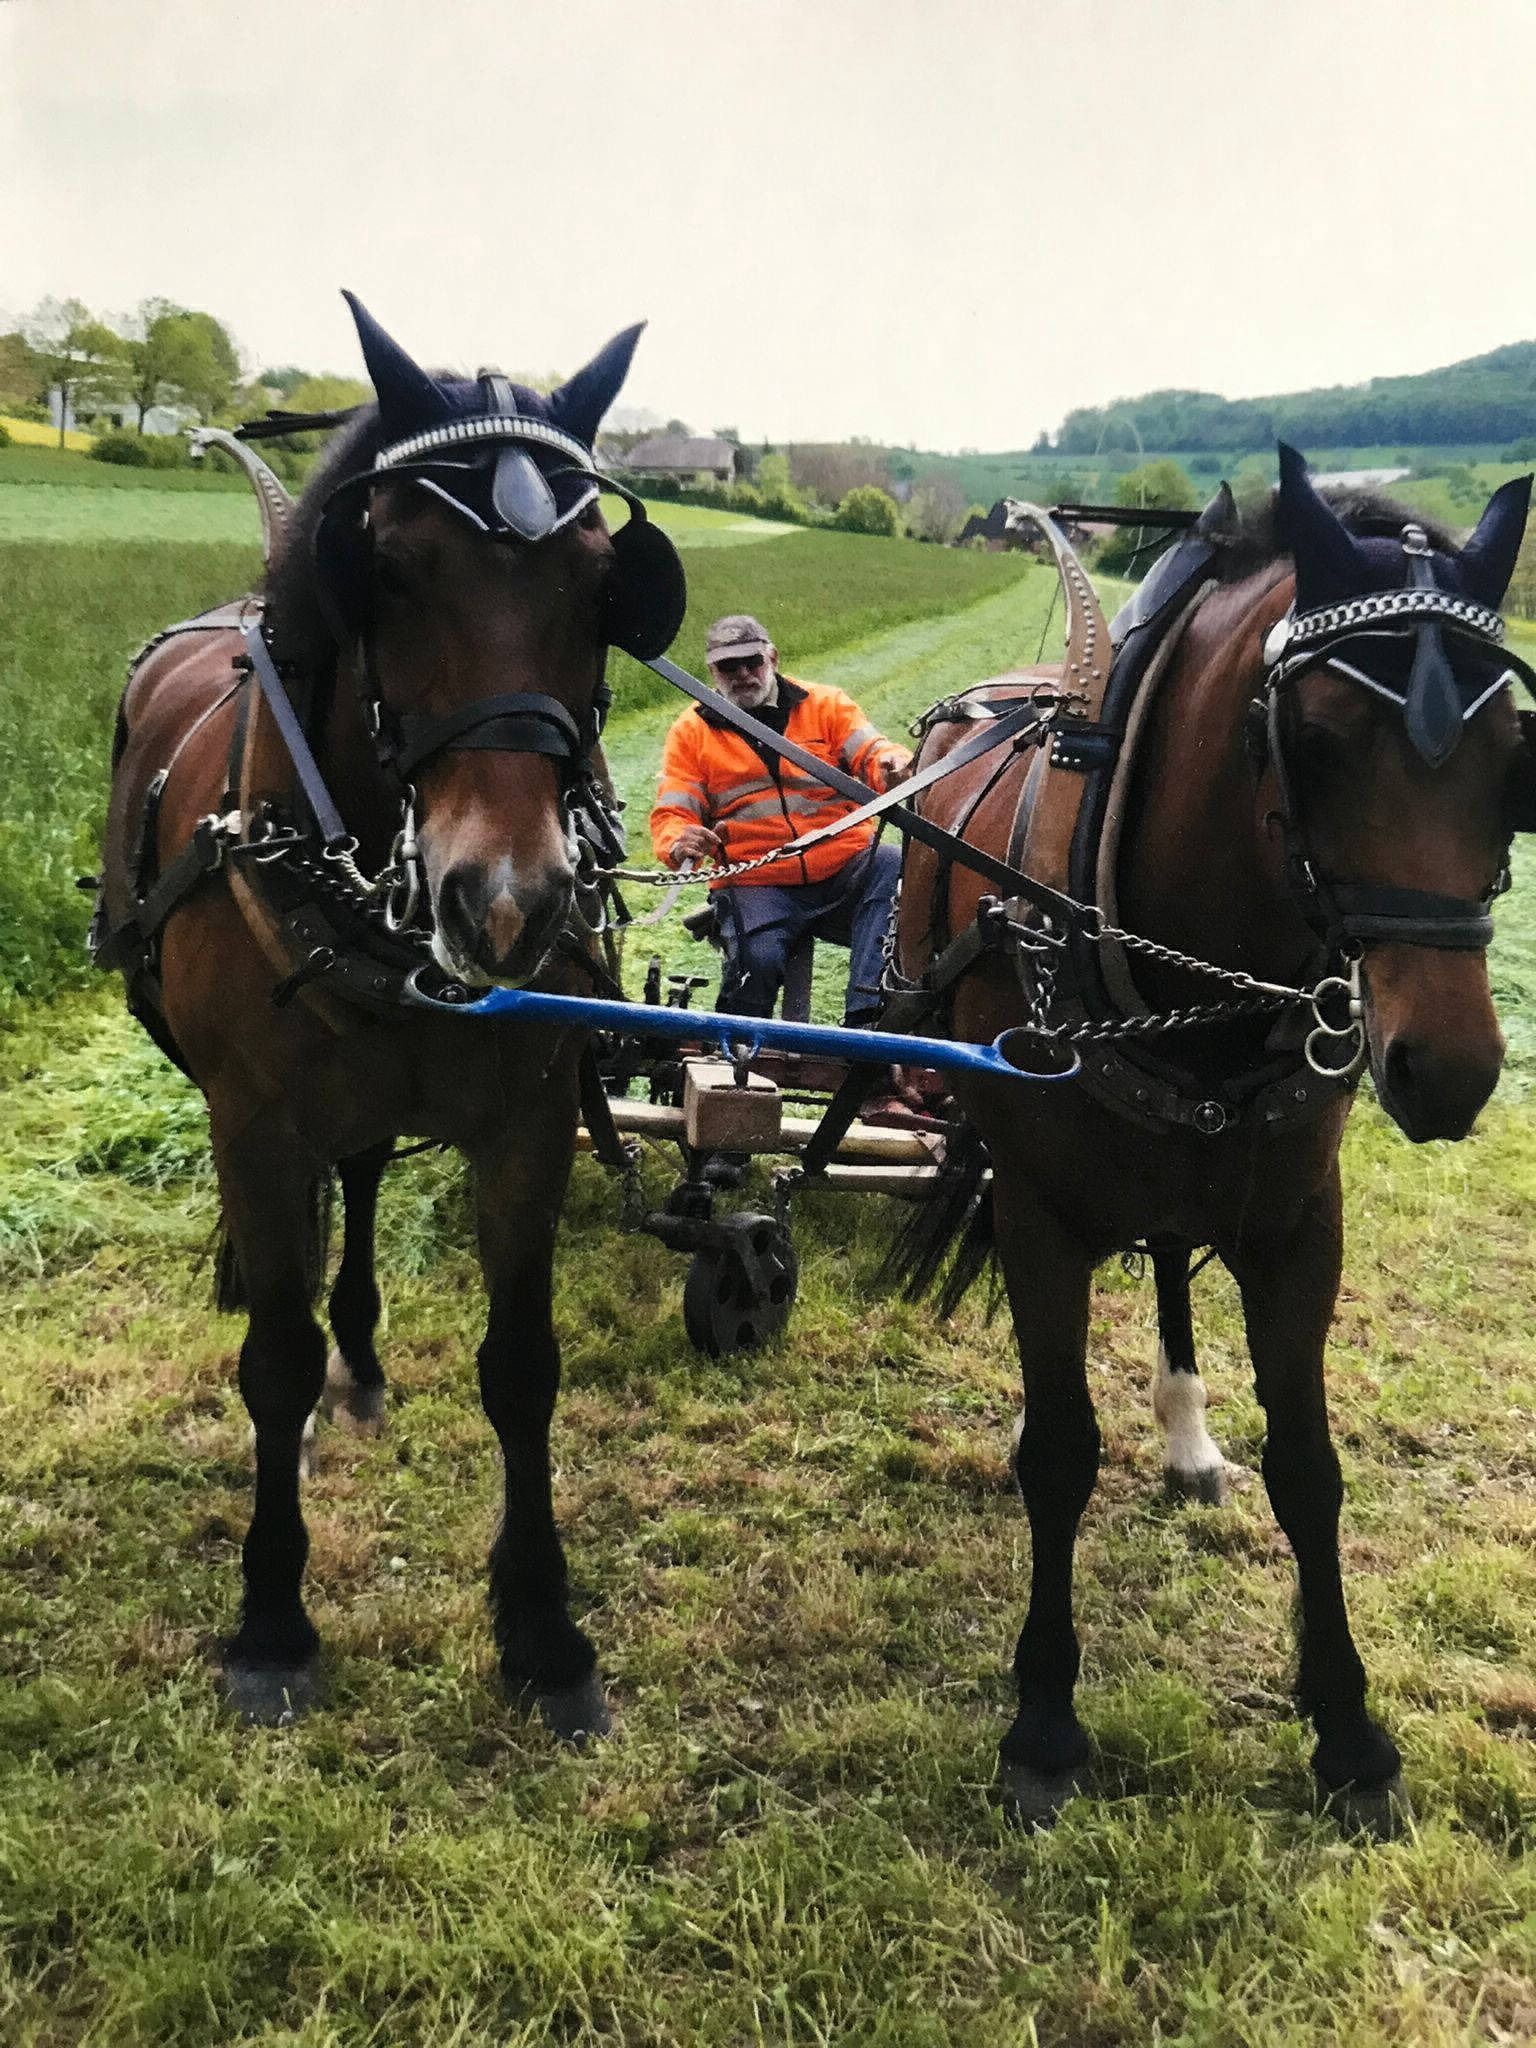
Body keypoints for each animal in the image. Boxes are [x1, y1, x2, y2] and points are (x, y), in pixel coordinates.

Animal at [95, 293, 685, 1735]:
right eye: (396, 569)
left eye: (605, 580)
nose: (508, 900)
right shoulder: (255, 1126)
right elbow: (271, 1362)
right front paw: (270, 1623)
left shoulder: (529, 1120)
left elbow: (522, 1365)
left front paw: (545, 1632)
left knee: (360, 1174)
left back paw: (360, 1353)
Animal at [889, 447, 1536, 1827]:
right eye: (1319, 739)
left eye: (1516, 748)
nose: (1450, 1069)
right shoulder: (1040, 1217)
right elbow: (1060, 1450)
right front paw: (1044, 1719)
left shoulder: (1297, 1225)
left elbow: (1312, 1463)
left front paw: (1347, 1727)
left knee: (1178, 1260)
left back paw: (1187, 1429)